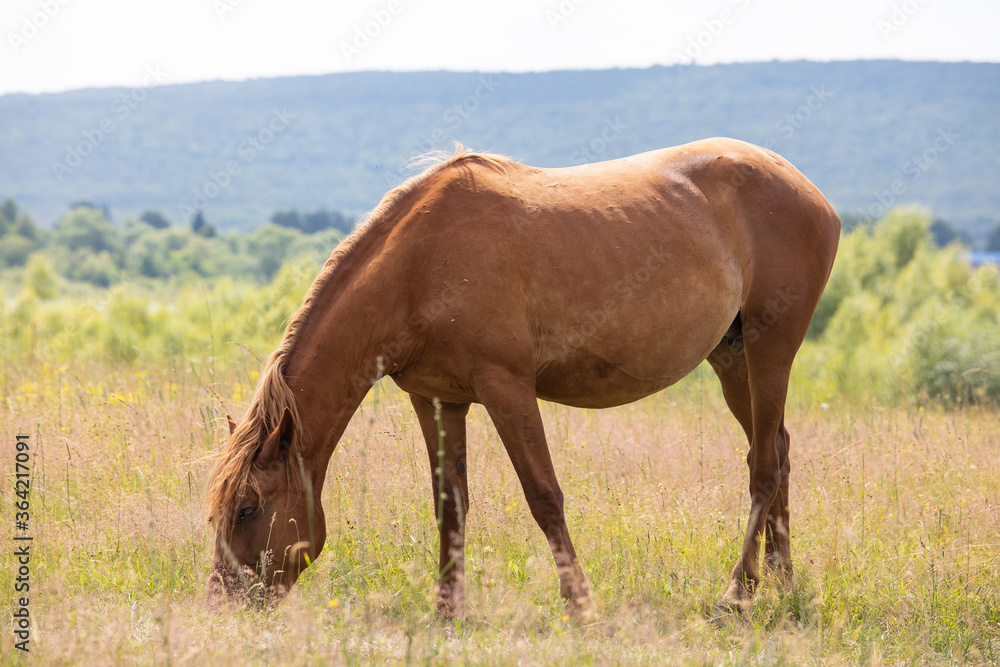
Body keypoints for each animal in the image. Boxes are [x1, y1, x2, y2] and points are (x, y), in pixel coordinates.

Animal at [207, 138, 840, 620]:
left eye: (246, 509)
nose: (222, 603)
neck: (417, 266)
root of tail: (812, 193)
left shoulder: (506, 388)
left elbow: (545, 497)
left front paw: (581, 606)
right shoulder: (437, 399)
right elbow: (450, 504)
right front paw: (447, 613)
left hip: (770, 351)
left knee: (763, 466)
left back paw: (737, 593)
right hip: (733, 361)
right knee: (776, 451)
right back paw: (781, 583)